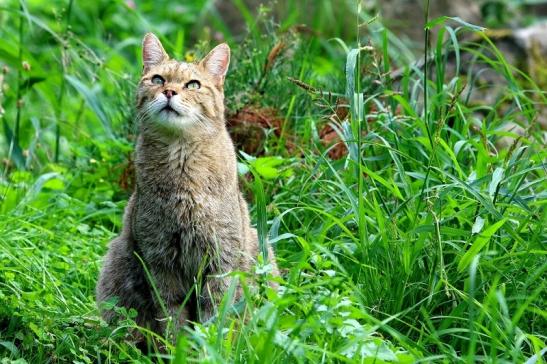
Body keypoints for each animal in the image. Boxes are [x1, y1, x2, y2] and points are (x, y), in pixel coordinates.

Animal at [95, 33, 278, 338]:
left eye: (193, 84)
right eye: (158, 79)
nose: (169, 92)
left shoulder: (220, 258)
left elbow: (215, 314)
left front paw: (210, 344)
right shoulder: (159, 259)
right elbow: (171, 315)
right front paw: (175, 344)